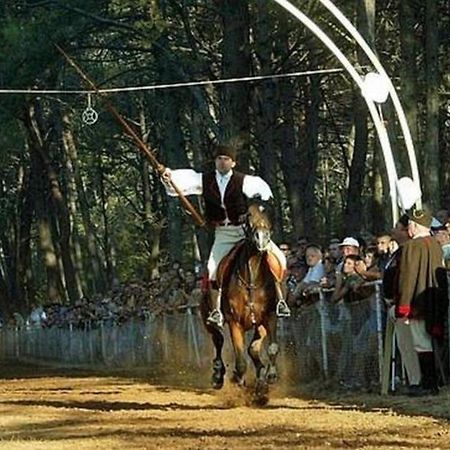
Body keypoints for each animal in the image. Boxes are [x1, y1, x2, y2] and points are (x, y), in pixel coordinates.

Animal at [203, 201, 284, 404]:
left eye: (268, 215)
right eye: (248, 216)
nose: (262, 238)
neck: (252, 278)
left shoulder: (269, 316)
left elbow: (272, 347)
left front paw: (270, 376)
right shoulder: (235, 322)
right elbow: (239, 361)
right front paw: (238, 379)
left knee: (253, 349)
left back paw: (260, 382)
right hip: (208, 319)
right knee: (218, 340)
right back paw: (218, 375)